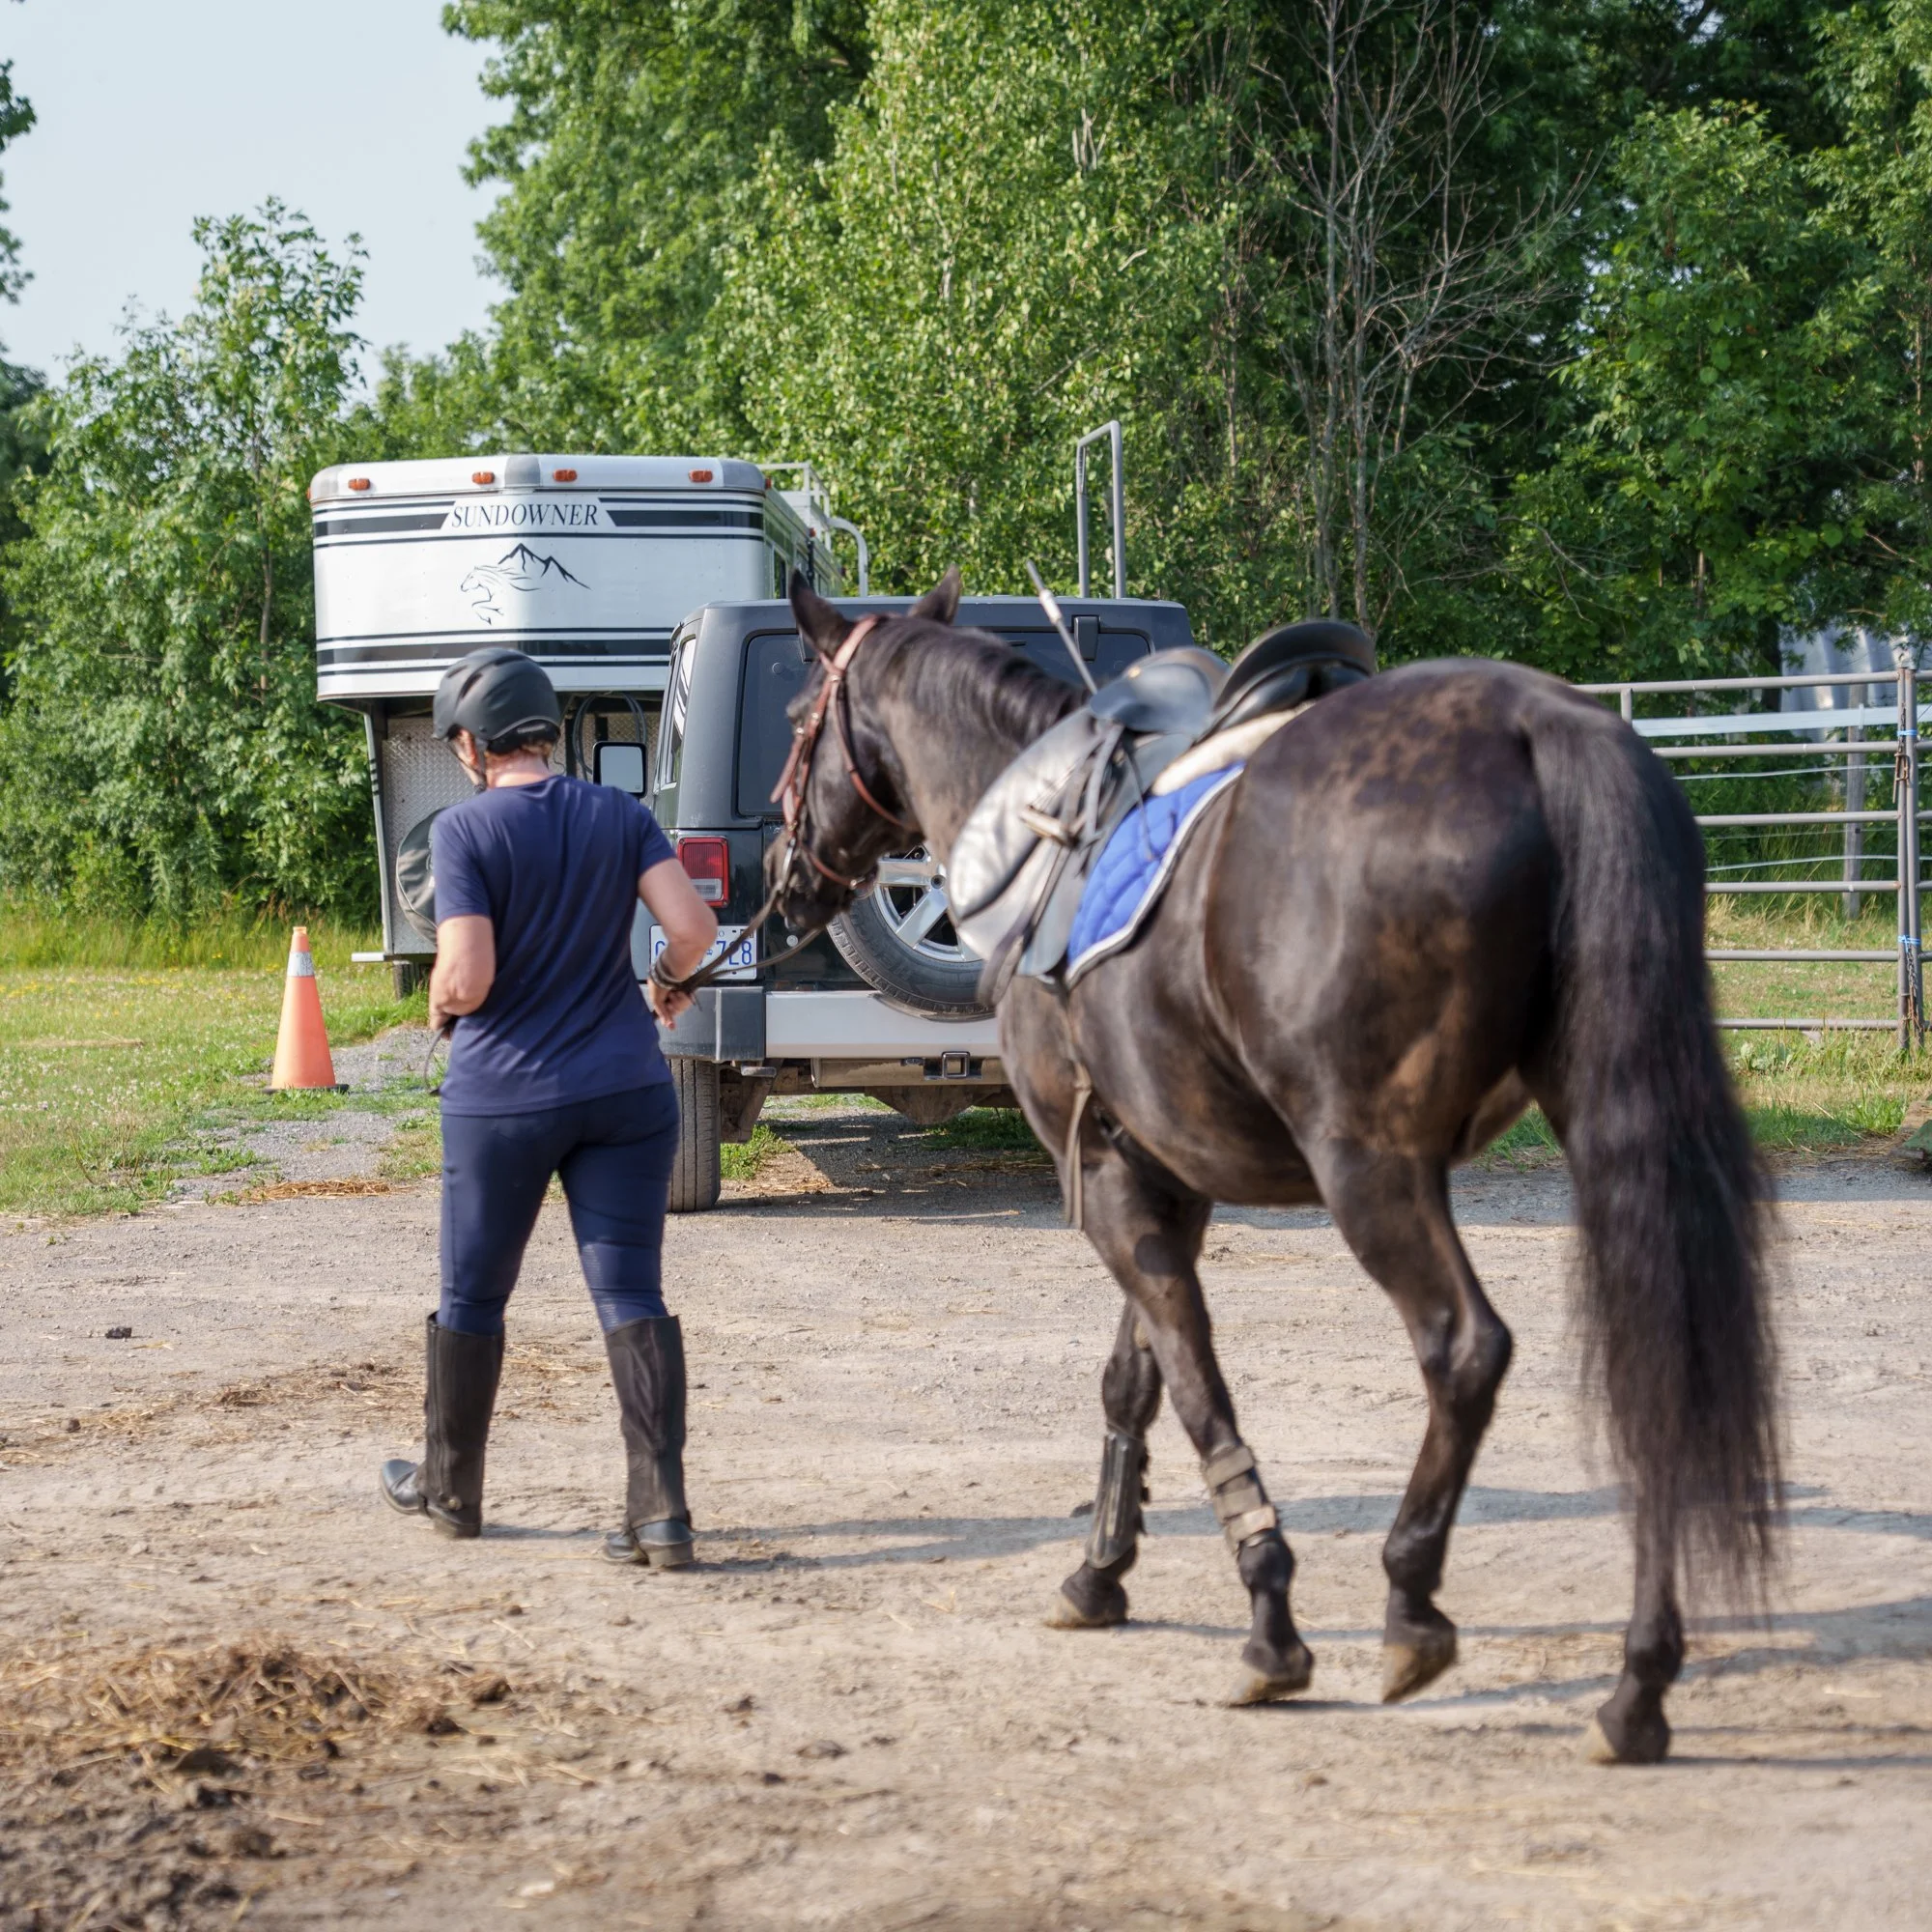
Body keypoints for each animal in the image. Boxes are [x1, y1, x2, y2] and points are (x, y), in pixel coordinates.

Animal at [769, 569, 1780, 1765]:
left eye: (796, 718)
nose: (783, 875)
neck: (1039, 819)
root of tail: (1542, 725)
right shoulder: (1164, 1170)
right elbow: (1135, 1375)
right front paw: (1099, 1570)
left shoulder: (1107, 1176)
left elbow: (1195, 1383)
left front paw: (1267, 1617)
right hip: (1605, 1123)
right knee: (1656, 1356)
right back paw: (1636, 1681)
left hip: (1368, 1167)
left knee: (1463, 1346)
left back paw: (1410, 1598)